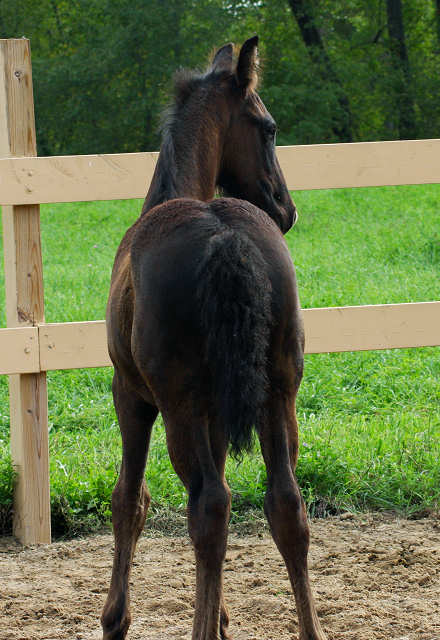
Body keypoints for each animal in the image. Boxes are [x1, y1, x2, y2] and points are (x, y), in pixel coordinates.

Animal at [101, 36, 327, 640]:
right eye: (269, 128)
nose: (286, 208)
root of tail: (224, 237)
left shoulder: (131, 396)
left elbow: (130, 499)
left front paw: (115, 617)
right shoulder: (219, 411)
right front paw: (222, 614)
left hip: (178, 405)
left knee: (207, 508)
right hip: (279, 393)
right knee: (286, 506)